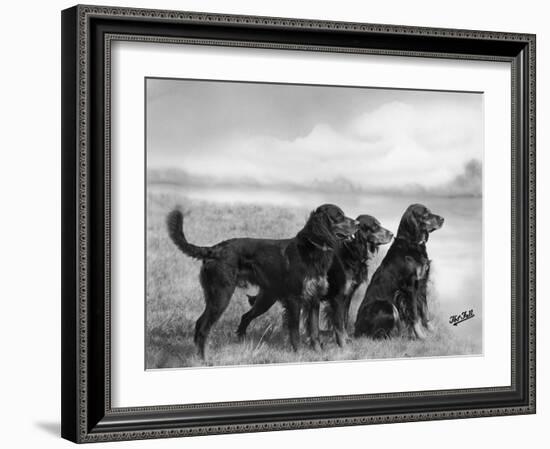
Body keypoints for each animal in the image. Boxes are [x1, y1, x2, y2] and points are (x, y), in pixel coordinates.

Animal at [168, 204, 358, 356]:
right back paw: (203, 358)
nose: (357, 224)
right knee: (203, 326)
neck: (311, 250)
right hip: (221, 295)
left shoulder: (314, 299)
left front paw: (318, 353)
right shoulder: (295, 299)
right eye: (339, 216)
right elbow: (295, 331)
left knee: (240, 317)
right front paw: (298, 353)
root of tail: (213, 250)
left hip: (263, 298)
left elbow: (315, 331)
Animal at [245, 215, 392, 344]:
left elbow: (344, 319)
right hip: (269, 297)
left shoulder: (347, 295)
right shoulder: (338, 297)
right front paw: (341, 341)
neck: (350, 251)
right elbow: (339, 321)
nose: (392, 234)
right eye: (374, 226)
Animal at [358, 202, 444, 336]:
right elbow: (415, 314)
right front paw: (421, 336)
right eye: (425, 213)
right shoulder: (410, 286)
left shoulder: (422, 283)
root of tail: (356, 329)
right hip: (387, 305)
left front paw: (432, 331)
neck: (412, 244)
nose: (443, 219)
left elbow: (425, 311)